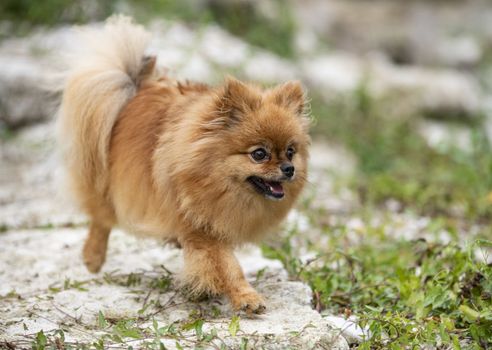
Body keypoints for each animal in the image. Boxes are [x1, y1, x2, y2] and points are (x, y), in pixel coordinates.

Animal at [57, 15, 310, 314]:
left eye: (291, 152)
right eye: (259, 154)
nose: (289, 169)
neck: (208, 174)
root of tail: (137, 87)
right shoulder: (201, 228)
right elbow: (228, 266)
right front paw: (246, 297)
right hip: (108, 182)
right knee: (101, 217)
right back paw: (93, 257)